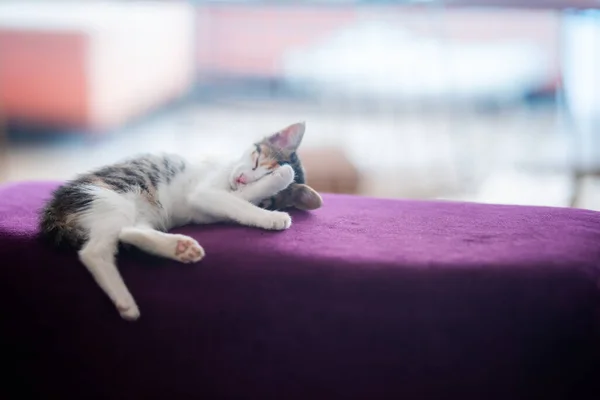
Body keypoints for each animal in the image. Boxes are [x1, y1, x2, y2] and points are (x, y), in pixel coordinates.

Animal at [39, 122, 322, 322]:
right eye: (255, 161)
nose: (241, 178)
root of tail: (54, 210)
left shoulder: (210, 205)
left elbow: (241, 201)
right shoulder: (204, 192)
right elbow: (238, 200)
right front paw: (280, 187)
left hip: (138, 213)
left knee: (128, 232)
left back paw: (179, 248)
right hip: (112, 199)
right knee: (94, 251)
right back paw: (125, 301)